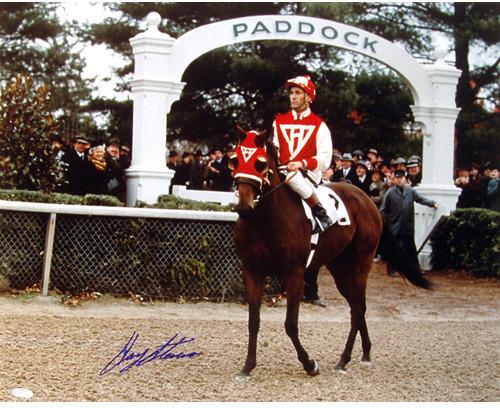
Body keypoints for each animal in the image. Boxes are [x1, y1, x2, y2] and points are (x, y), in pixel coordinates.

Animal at [230, 126, 430, 376]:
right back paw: (365, 352)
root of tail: (367, 200)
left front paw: (310, 364)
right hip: (339, 268)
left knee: (358, 307)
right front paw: (247, 366)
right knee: (356, 307)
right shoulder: (252, 272)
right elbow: (253, 321)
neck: (265, 222)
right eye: (235, 160)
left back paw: (344, 359)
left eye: (260, 163)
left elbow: (290, 324)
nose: (243, 207)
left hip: (361, 264)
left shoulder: (294, 274)